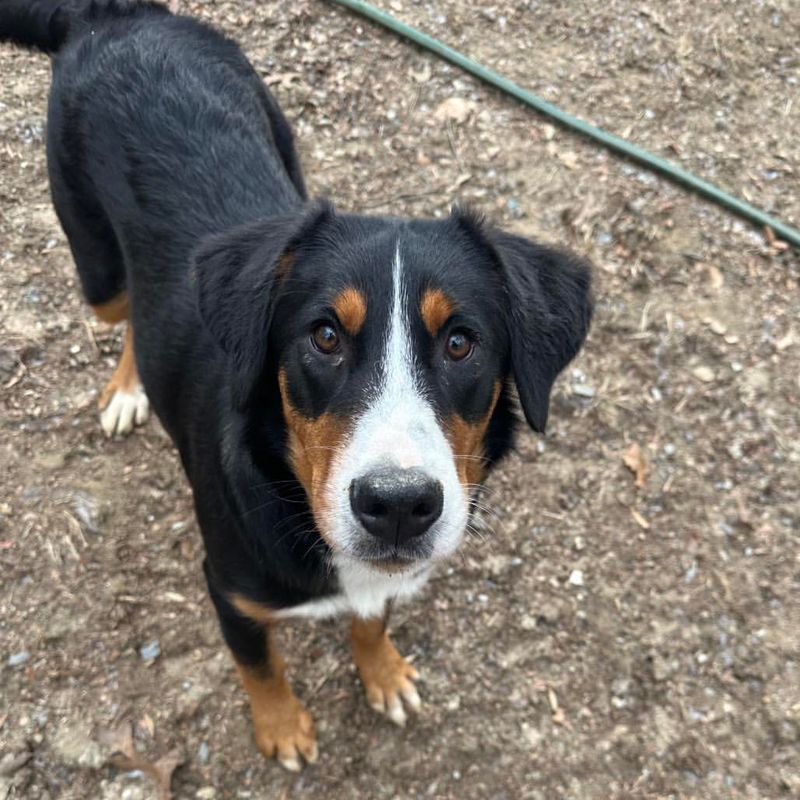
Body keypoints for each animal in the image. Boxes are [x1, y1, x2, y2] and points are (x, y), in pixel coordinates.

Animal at [0, 0, 588, 776]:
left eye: (462, 342)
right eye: (325, 337)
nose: (398, 507)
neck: (291, 484)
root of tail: (117, 15)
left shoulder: (380, 577)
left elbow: (371, 620)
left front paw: (384, 673)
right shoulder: (229, 591)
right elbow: (260, 667)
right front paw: (282, 728)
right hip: (93, 262)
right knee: (123, 310)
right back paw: (129, 390)